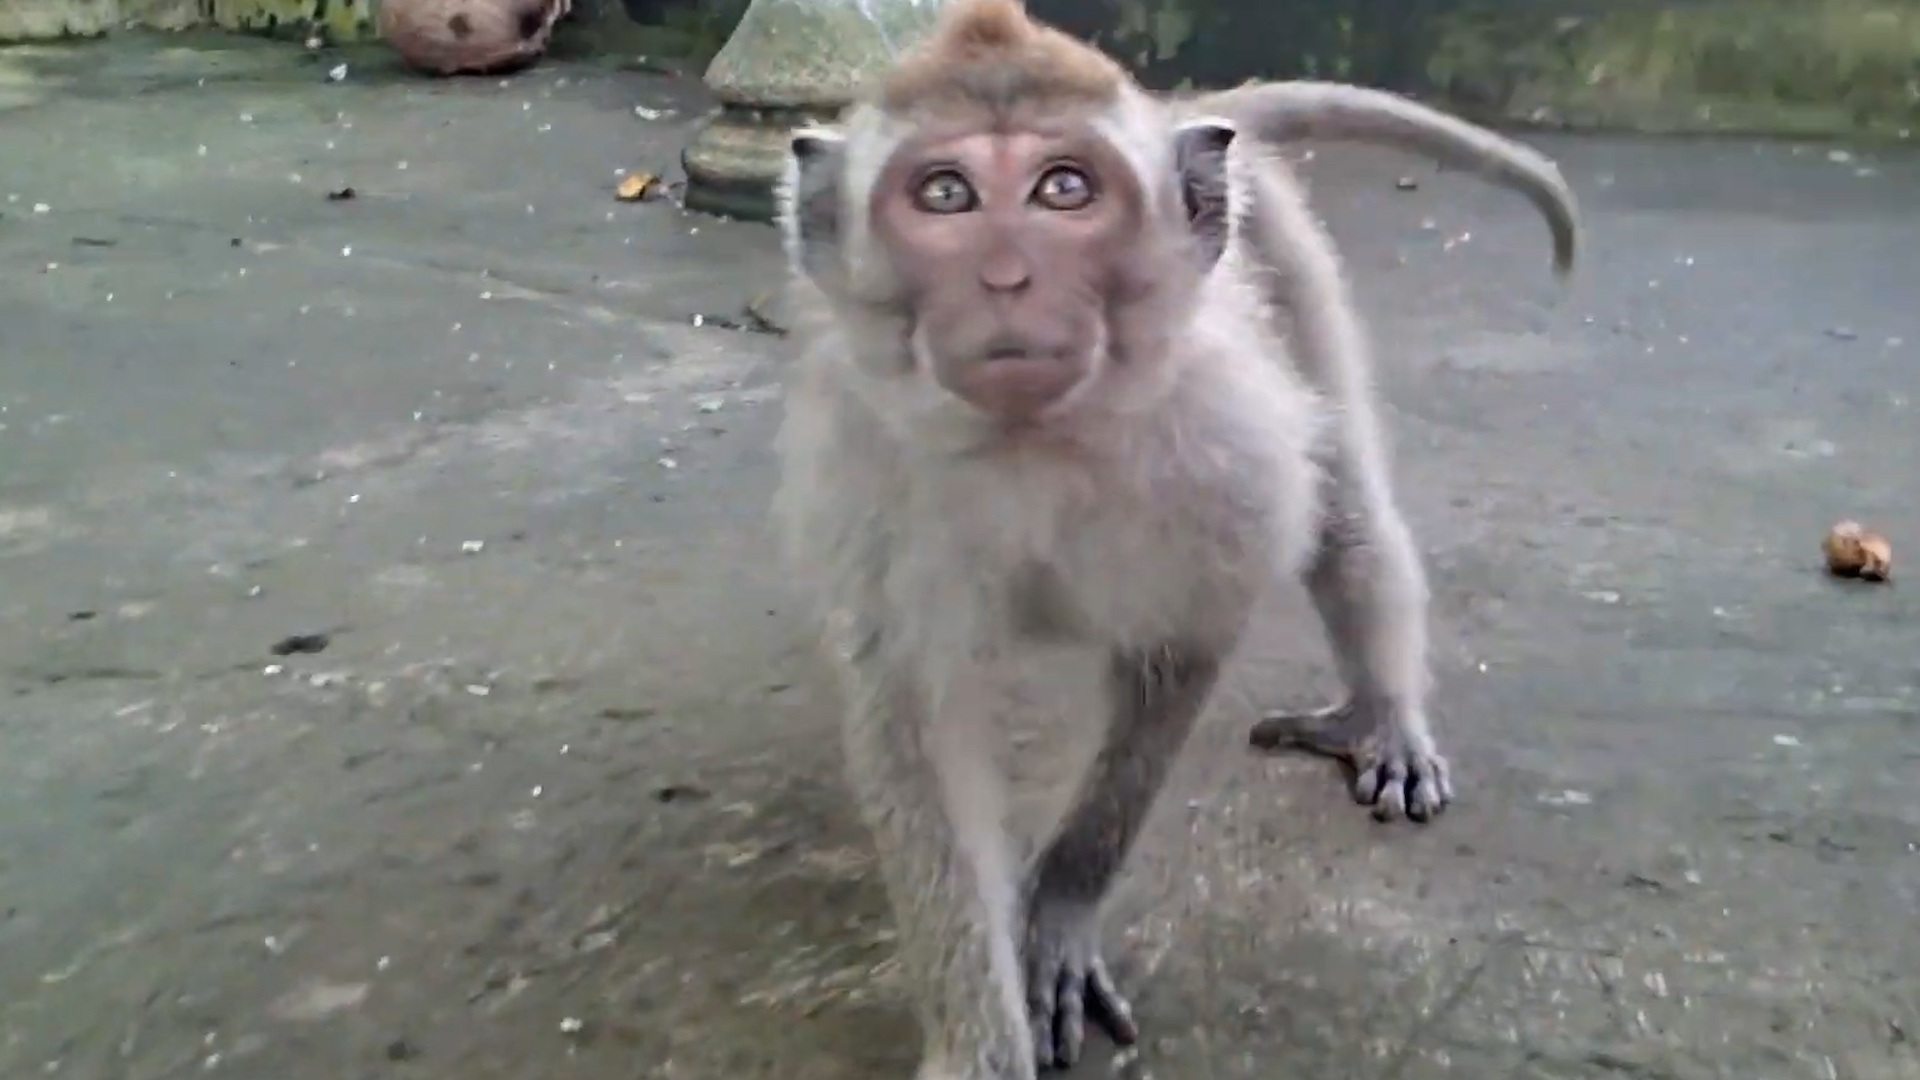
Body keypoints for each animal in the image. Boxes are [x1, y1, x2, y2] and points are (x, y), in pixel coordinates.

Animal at [766, 2, 1579, 1076]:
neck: (1035, 440)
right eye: (945, 194)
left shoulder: (1217, 447)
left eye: (1064, 188)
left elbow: (1181, 643)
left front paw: (1058, 914)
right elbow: (921, 727)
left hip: (1281, 249)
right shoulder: (863, 476)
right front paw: (981, 1037)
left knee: (1341, 510)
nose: (1006, 278)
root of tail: (1186, 108)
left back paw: (1382, 716)